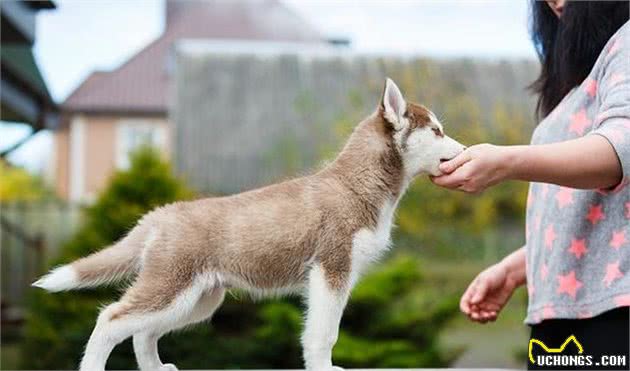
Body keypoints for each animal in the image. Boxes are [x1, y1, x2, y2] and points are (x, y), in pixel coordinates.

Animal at [35, 78, 470, 371]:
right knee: (111, 319)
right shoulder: (331, 269)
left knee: (143, 331)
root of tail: (161, 213)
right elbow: (324, 333)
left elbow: (322, 331)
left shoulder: (335, 276)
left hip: (197, 299)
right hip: (172, 288)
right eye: (437, 131)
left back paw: (156, 368)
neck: (357, 184)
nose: (467, 150)